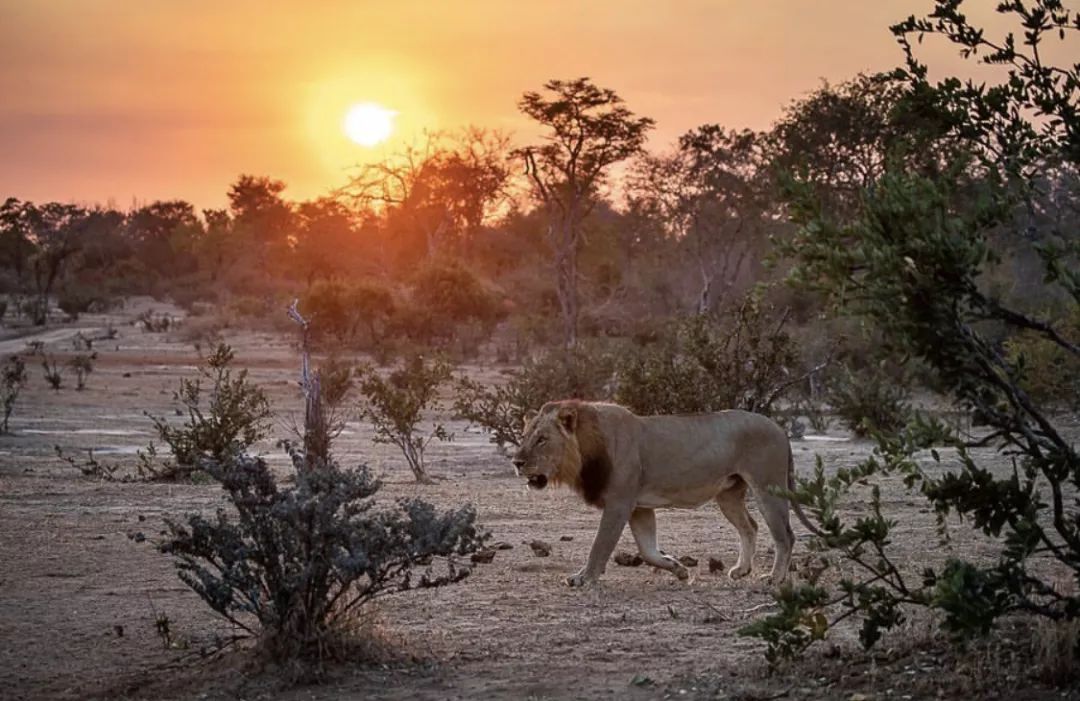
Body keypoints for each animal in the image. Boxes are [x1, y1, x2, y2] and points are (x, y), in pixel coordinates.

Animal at [509, 399, 812, 583]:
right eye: (524, 437)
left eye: (542, 439)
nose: (517, 462)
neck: (586, 451)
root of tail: (779, 428)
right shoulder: (639, 508)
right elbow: (647, 550)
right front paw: (678, 569)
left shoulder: (620, 502)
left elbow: (600, 544)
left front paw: (584, 577)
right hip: (728, 494)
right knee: (750, 526)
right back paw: (742, 570)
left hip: (768, 487)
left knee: (785, 535)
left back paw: (774, 578)